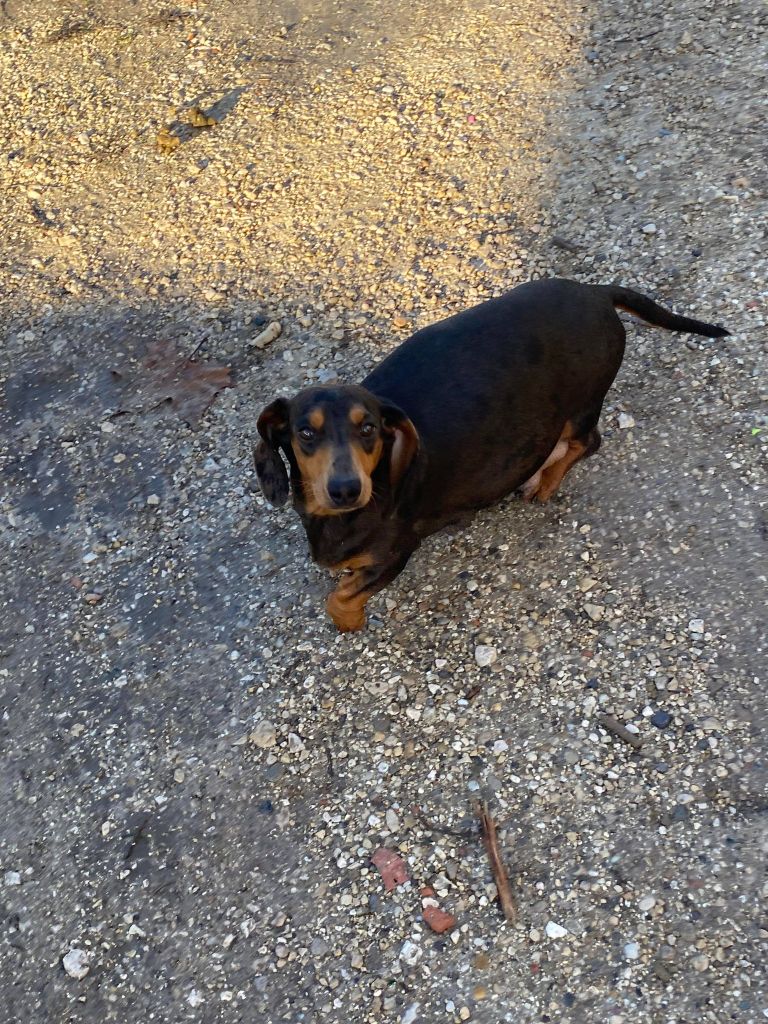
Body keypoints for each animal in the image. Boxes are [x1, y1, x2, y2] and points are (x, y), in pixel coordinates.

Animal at [256, 280, 729, 630]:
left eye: (368, 428)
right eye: (305, 432)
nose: (346, 489)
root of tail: (595, 292)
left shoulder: (397, 550)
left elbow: (340, 598)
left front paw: (349, 620)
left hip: (580, 406)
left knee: (587, 443)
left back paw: (543, 482)